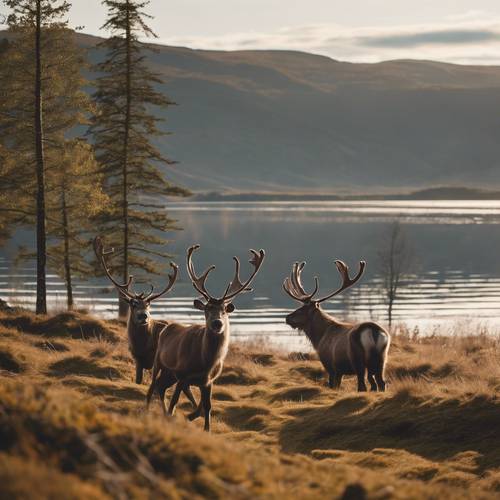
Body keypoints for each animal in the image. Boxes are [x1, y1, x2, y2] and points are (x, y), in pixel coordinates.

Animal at [93, 235, 196, 406]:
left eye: (148, 304)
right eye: (133, 304)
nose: (143, 316)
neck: (143, 346)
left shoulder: (156, 361)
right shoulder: (137, 360)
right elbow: (138, 381)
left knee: (185, 387)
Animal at [146, 244, 266, 432]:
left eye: (224, 310)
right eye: (207, 309)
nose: (217, 323)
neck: (205, 362)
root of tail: (166, 328)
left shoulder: (208, 381)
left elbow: (206, 405)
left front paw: (202, 425)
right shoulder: (182, 374)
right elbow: (175, 401)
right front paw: (179, 416)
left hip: (170, 373)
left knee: (161, 386)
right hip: (160, 362)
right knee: (153, 387)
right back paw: (148, 410)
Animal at [284, 260, 388, 392]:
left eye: (302, 309)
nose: (287, 318)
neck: (319, 338)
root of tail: (372, 331)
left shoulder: (331, 366)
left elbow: (333, 385)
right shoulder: (339, 370)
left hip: (358, 360)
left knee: (363, 386)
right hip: (382, 359)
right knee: (381, 383)